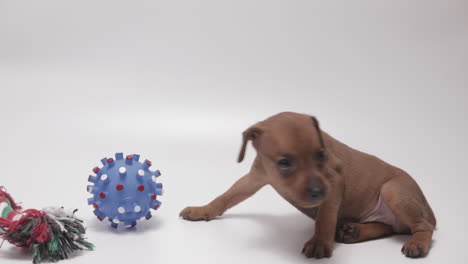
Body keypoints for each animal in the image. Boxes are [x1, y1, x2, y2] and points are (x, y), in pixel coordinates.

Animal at [178, 112, 436, 258]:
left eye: (321, 155)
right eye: (284, 163)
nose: (318, 192)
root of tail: (429, 209)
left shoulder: (333, 184)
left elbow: (325, 217)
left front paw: (319, 242)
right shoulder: (253, 178)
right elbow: (226, 196)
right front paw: (202, 210)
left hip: (393, 191)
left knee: (423, 227)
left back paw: (418, 243)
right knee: (390, 228)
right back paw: (354, 231)